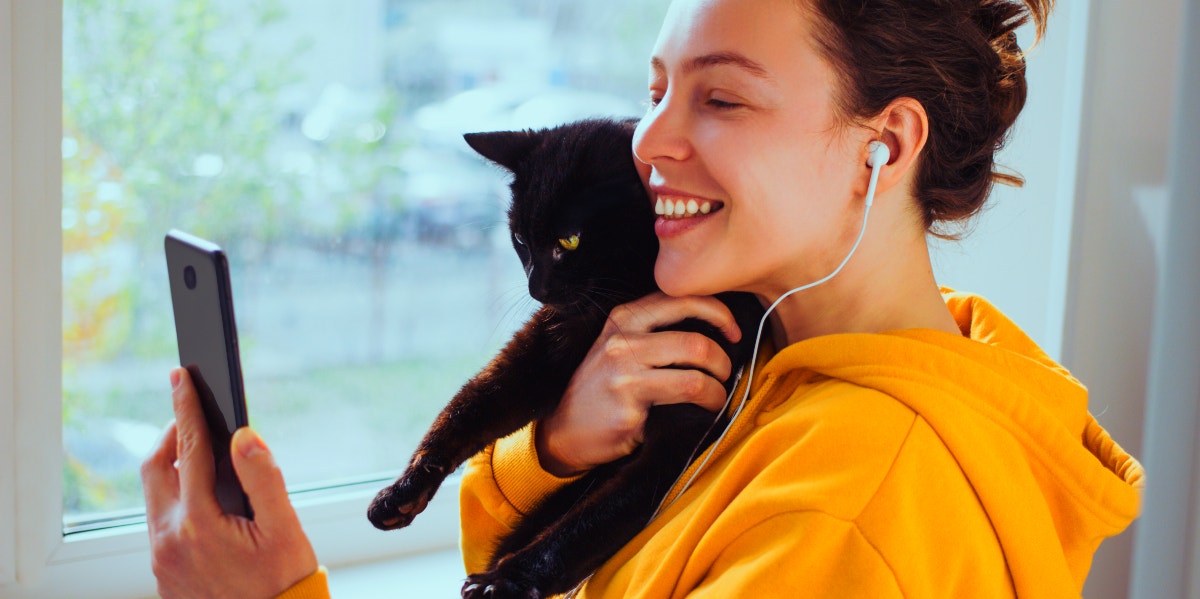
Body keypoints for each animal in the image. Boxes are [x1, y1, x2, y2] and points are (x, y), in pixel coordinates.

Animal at [364, 118, 763, 599]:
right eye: (520, 239)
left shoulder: (678, 437)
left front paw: (505, 581)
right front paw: (402, 490)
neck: (616, 302)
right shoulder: (537, 354)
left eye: (569, 241)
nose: (537, 288)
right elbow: (467, 409)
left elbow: (582, 528)